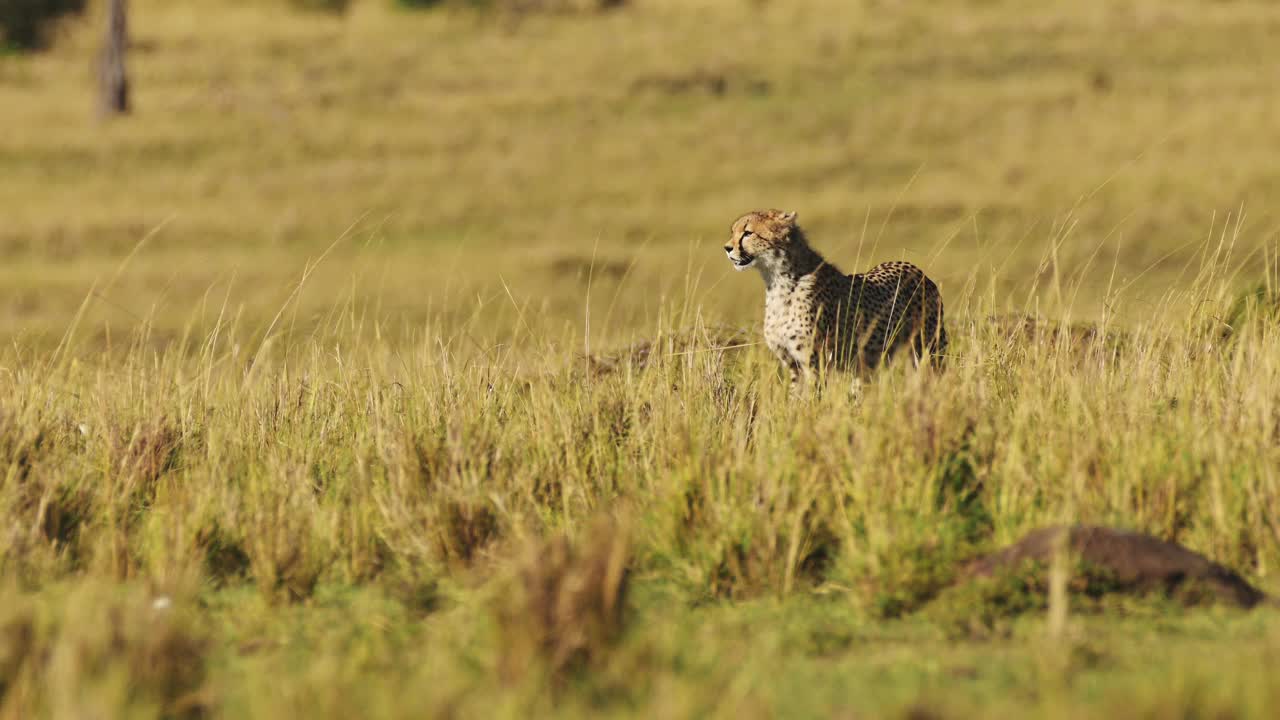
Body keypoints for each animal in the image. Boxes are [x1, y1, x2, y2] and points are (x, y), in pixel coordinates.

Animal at [727, 207, 947, 386]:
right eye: (734, 232)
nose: (727, 248)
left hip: (928, 352)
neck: (777, 279)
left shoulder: (816, 363)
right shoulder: (794, 365)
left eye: (748, 233)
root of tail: (917, 270)